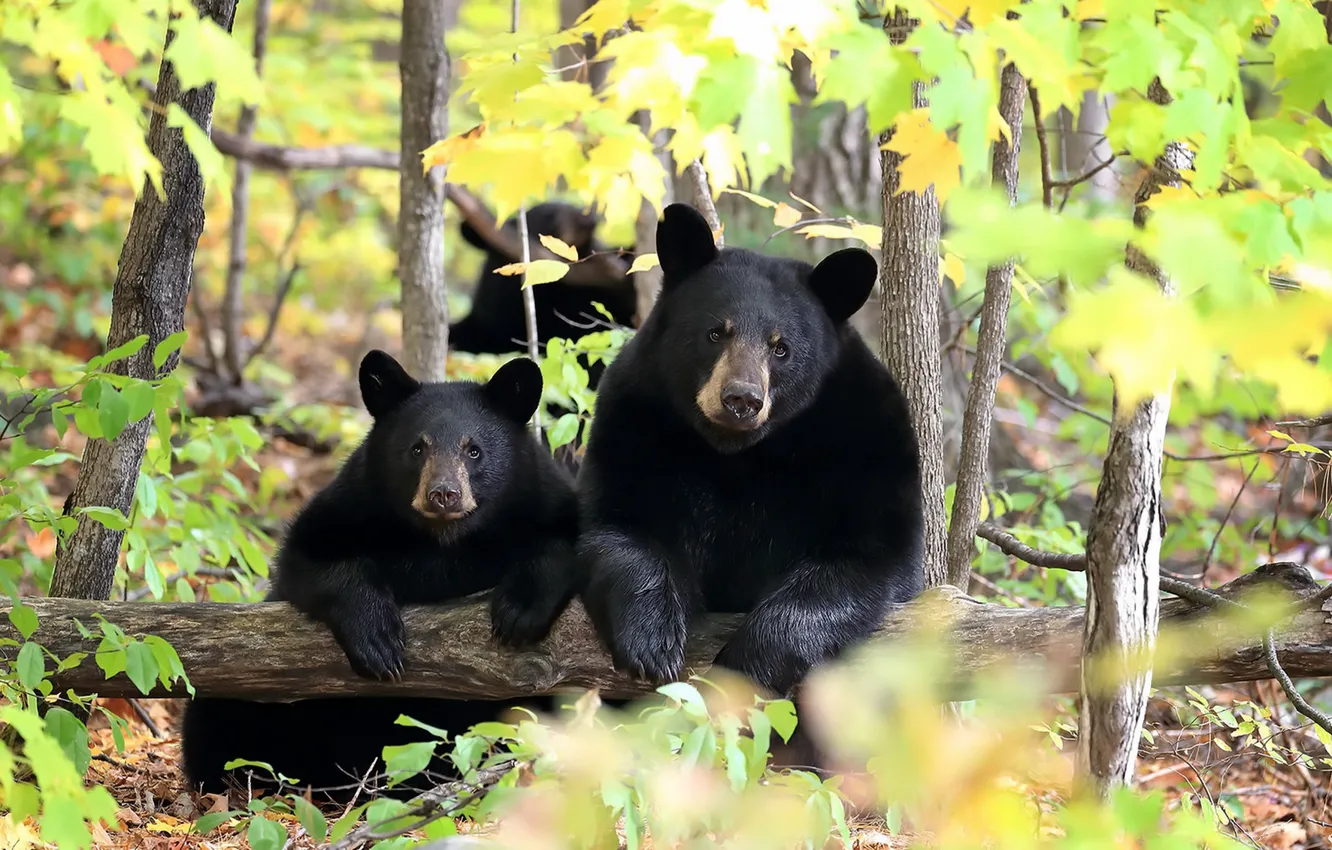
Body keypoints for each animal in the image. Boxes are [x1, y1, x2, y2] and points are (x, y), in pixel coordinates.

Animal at [180, 350, 579, 802]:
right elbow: (310, 559)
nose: (443, 494)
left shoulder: (541, 498)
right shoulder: (352, 506)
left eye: (474, 450)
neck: (444, 544)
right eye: (417, 447)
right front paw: (379, 641)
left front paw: (518, 612)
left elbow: (567, 541)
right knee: (216, 713)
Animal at [576, 202, 924, 706]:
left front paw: (746, 664)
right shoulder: (635, 423)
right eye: (715, 333)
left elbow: (868, 557)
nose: (741, 398)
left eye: (781, 348)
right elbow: (617, 524)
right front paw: (652, 641)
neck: (737, 454)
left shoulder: (867, 443)